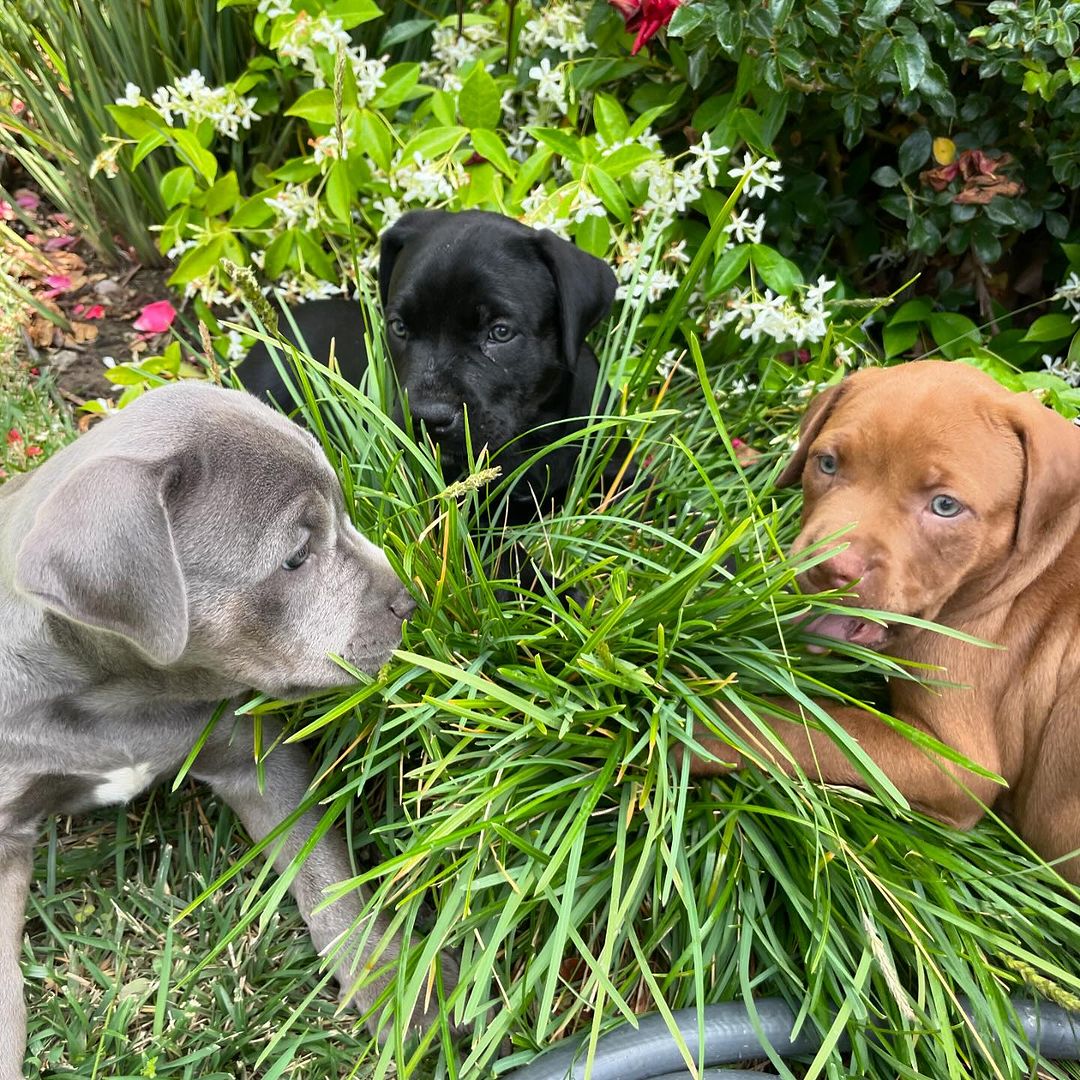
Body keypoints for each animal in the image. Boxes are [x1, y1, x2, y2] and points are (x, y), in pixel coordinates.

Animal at [0, 380, 451, 1071]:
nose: (410, 601)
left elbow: (328, 879)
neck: (120, 696)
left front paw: (396, 984)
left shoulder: (255, 756)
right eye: (295, 557)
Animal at [686, 358, 1080, 881]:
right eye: (827, 463)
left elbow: (818, 729)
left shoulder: (956, 764)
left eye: (945, 506)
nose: (829, 567)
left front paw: (700, 723)